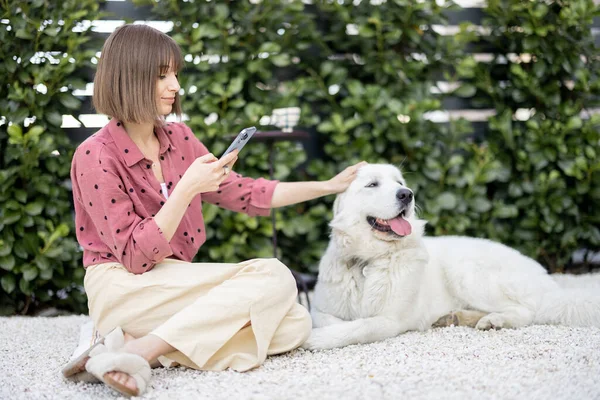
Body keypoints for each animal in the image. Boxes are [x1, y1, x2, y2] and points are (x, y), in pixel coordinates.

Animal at [304, 164, 600, 348]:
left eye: (399, 183)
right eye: (372, 184)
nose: (407, 194)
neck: (369, 260)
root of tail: (546, 280)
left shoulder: (389, 320)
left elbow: (357, 327)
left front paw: (315, 340)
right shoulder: (320, 308)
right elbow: (327, 319)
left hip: (467, 272)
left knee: (526, 311)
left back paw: (494, 321)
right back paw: (457, 317)